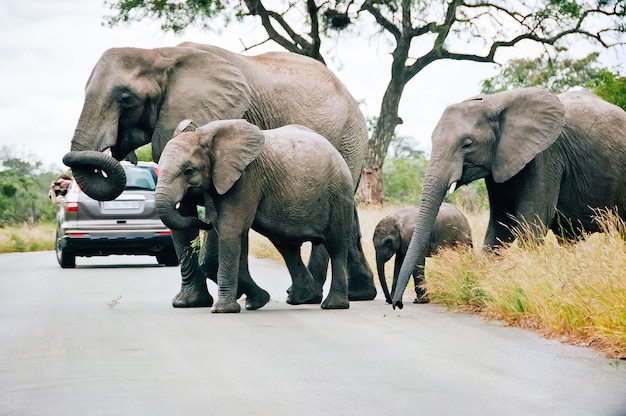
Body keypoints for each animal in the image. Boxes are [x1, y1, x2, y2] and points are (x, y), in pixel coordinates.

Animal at [155, 118, 354, 314]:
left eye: (189, 171)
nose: (205, 223)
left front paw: (222, 310)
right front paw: (258, 301)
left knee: (336, 246)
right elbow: (234, 235)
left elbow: (230, 230)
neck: (208, 137)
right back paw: (302, 298)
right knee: (286, 246)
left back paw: (333, 305)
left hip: (339, 193)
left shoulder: (246, 178)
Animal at [390, 88, 624, 308]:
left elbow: (531, 222)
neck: (495, 102)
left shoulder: (545, 156)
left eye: (467, 144)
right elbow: (501, 224)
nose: (397, 304)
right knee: (569, 238)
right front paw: (481, 293)